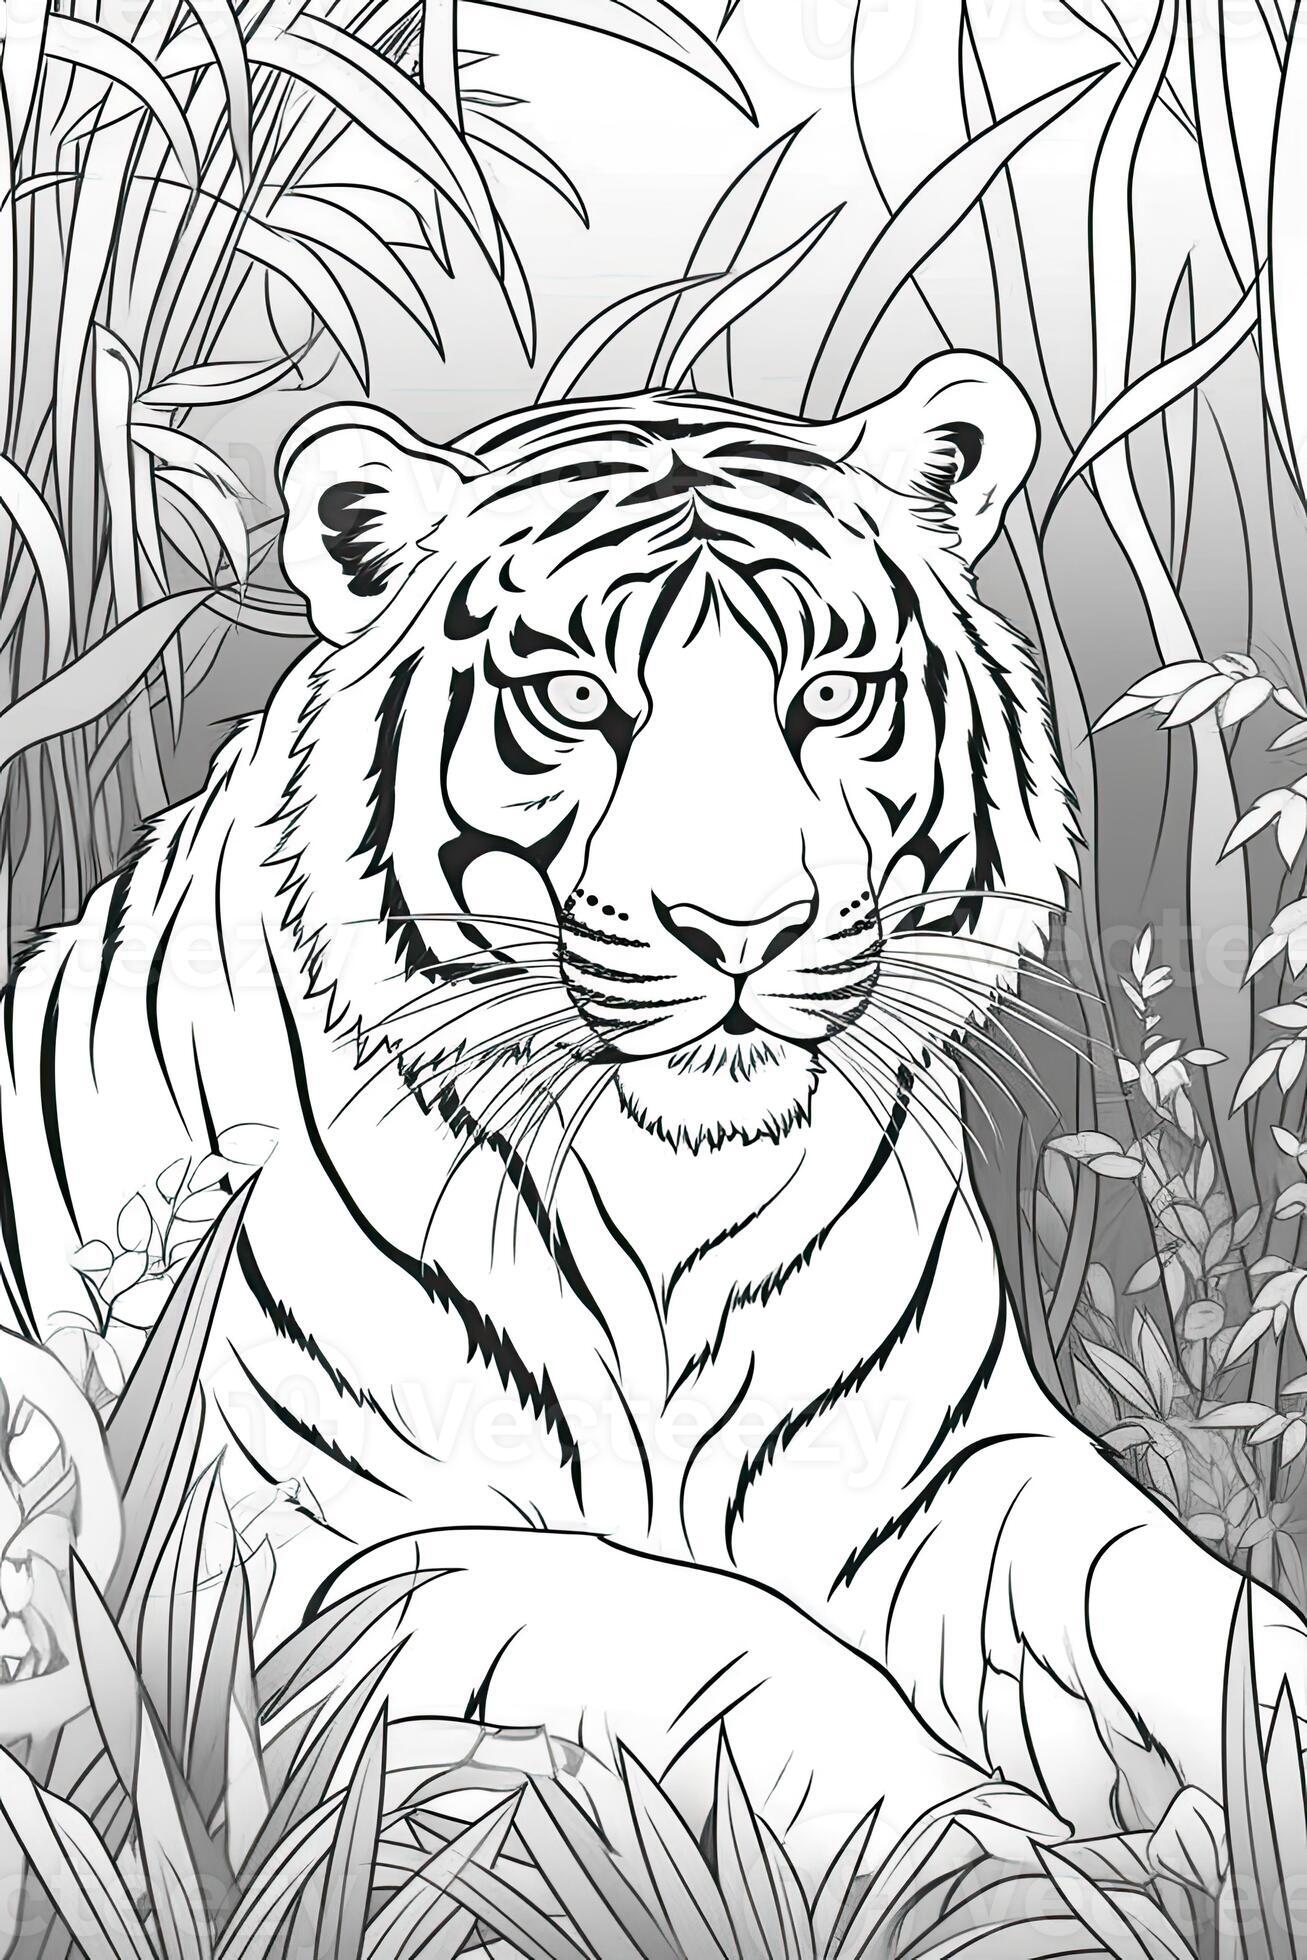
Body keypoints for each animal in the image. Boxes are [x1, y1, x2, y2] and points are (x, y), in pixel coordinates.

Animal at [1, 351, 1303, 1876]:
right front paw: (1003, 1853)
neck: (672, 1189)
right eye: (573, 698)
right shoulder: (291, 1555)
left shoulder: (940, 1467)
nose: (741, 930)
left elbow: (1160, 1593)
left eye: (833, 693)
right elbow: (717, 1639)